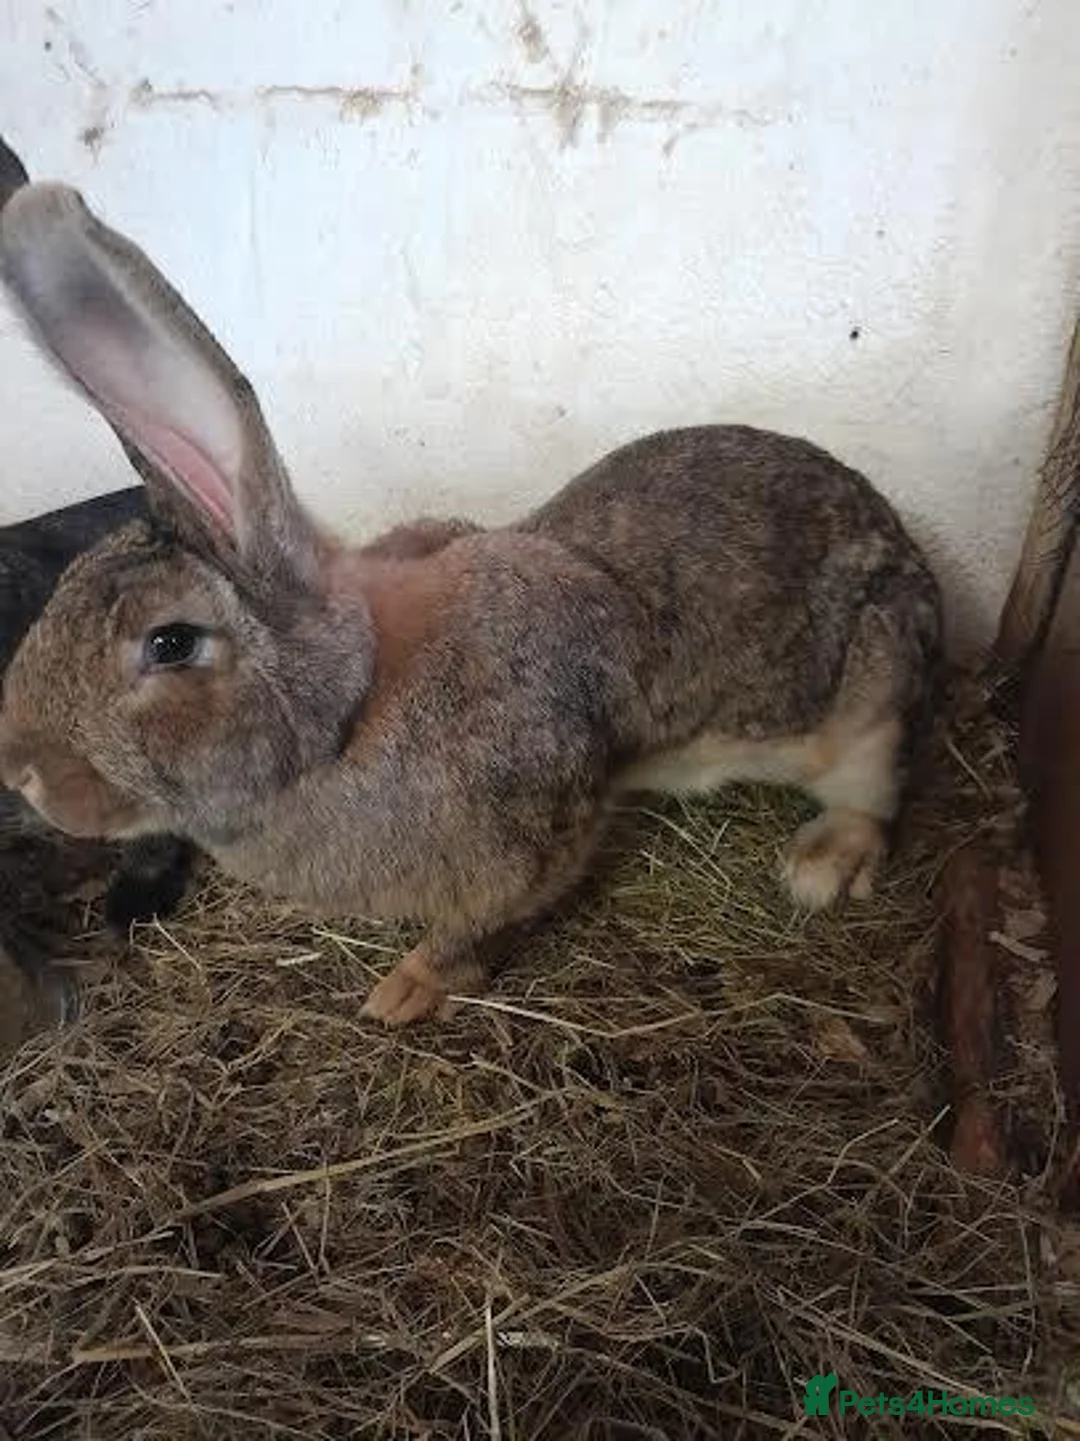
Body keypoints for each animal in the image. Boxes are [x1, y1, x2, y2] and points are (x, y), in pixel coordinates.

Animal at [0, 144, 942, 1027]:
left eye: (170, 642)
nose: (19, 769)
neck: (352, 713)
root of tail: (913, 560)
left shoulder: (535, 837)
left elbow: (477, 928)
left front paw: (407, 990)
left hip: (865, 699)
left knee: (874, 781)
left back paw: (823, 862)